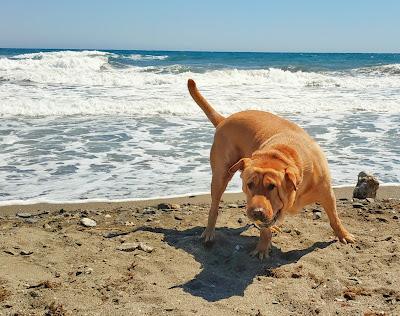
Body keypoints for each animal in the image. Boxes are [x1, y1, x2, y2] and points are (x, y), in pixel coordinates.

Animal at [186, 78, 354, 260]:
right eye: (250, 185)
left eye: (272, 186)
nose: (257, 212)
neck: (282, 153)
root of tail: (224, 120)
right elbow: (264, 230)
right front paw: (262, 247)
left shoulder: (327, 193)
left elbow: (334, 217)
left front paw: (343, 235)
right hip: (220, 175)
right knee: (214, 207)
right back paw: (209, 232)